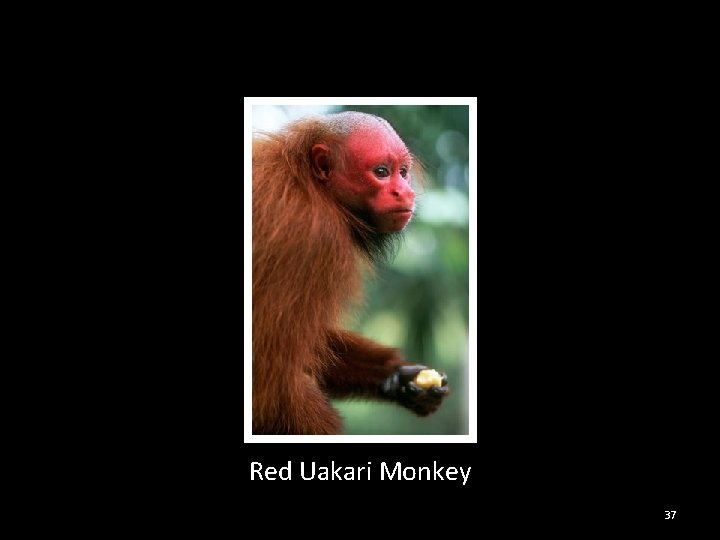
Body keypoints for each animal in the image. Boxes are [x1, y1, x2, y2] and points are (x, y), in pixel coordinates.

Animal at [252, 111, 450, 435]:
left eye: (402, 172)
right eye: (381, 172)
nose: (405, 192)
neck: (312, 185)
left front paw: (398, 378)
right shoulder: (308, 241)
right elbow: (268, 386)